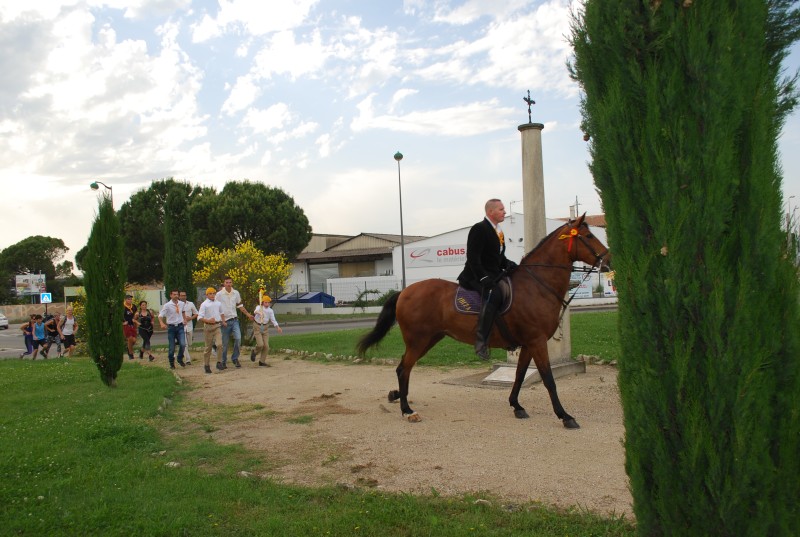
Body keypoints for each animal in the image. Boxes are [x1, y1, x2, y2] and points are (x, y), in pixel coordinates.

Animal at [356, 214, 608, 428]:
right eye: (588, 236)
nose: (608, 259)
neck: (536, 286)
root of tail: (405, 291)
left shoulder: (529, 344)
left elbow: (519, 375)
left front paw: (516, 405)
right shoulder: (537, 341)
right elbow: (548, 379)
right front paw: (565, 416)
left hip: (429, 339)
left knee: (404, 368)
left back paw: (398, 397)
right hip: (418, 340)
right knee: (403, 369)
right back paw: (407, 410)